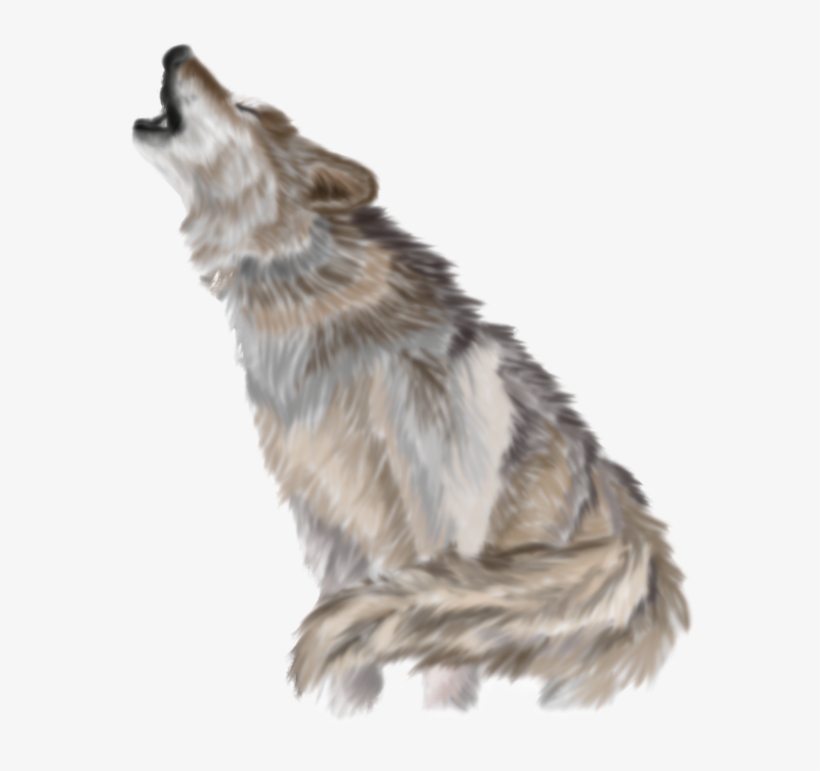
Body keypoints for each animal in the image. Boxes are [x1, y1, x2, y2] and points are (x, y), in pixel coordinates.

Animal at [134, 45, 689, 715]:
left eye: (247, 108)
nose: (177, 52)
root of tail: (641, 541)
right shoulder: (324, 526)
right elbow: (350, 656)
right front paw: (344, 711)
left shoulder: (440, 531)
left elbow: (437, 655)